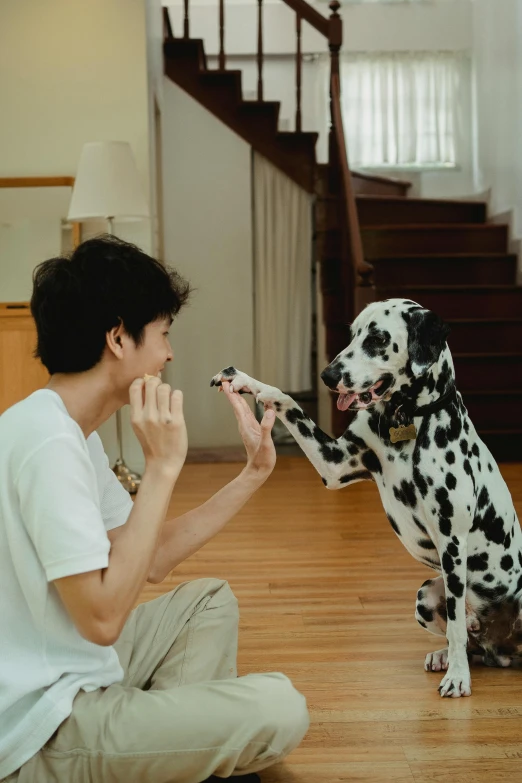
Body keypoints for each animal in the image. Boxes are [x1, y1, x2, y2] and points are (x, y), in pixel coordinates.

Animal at [210, 298, 520, 700]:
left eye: (377, 339)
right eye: (352, 333)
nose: (327, 375)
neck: (407, 420)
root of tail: (503, 650)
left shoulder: (453, 542)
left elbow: (455, 626)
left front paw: (458, 679)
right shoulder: (334, 463)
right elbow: (286, 399)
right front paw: (245, 381)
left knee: (465, 634)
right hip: (425, 594)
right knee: (472, 643)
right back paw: (444, 656)